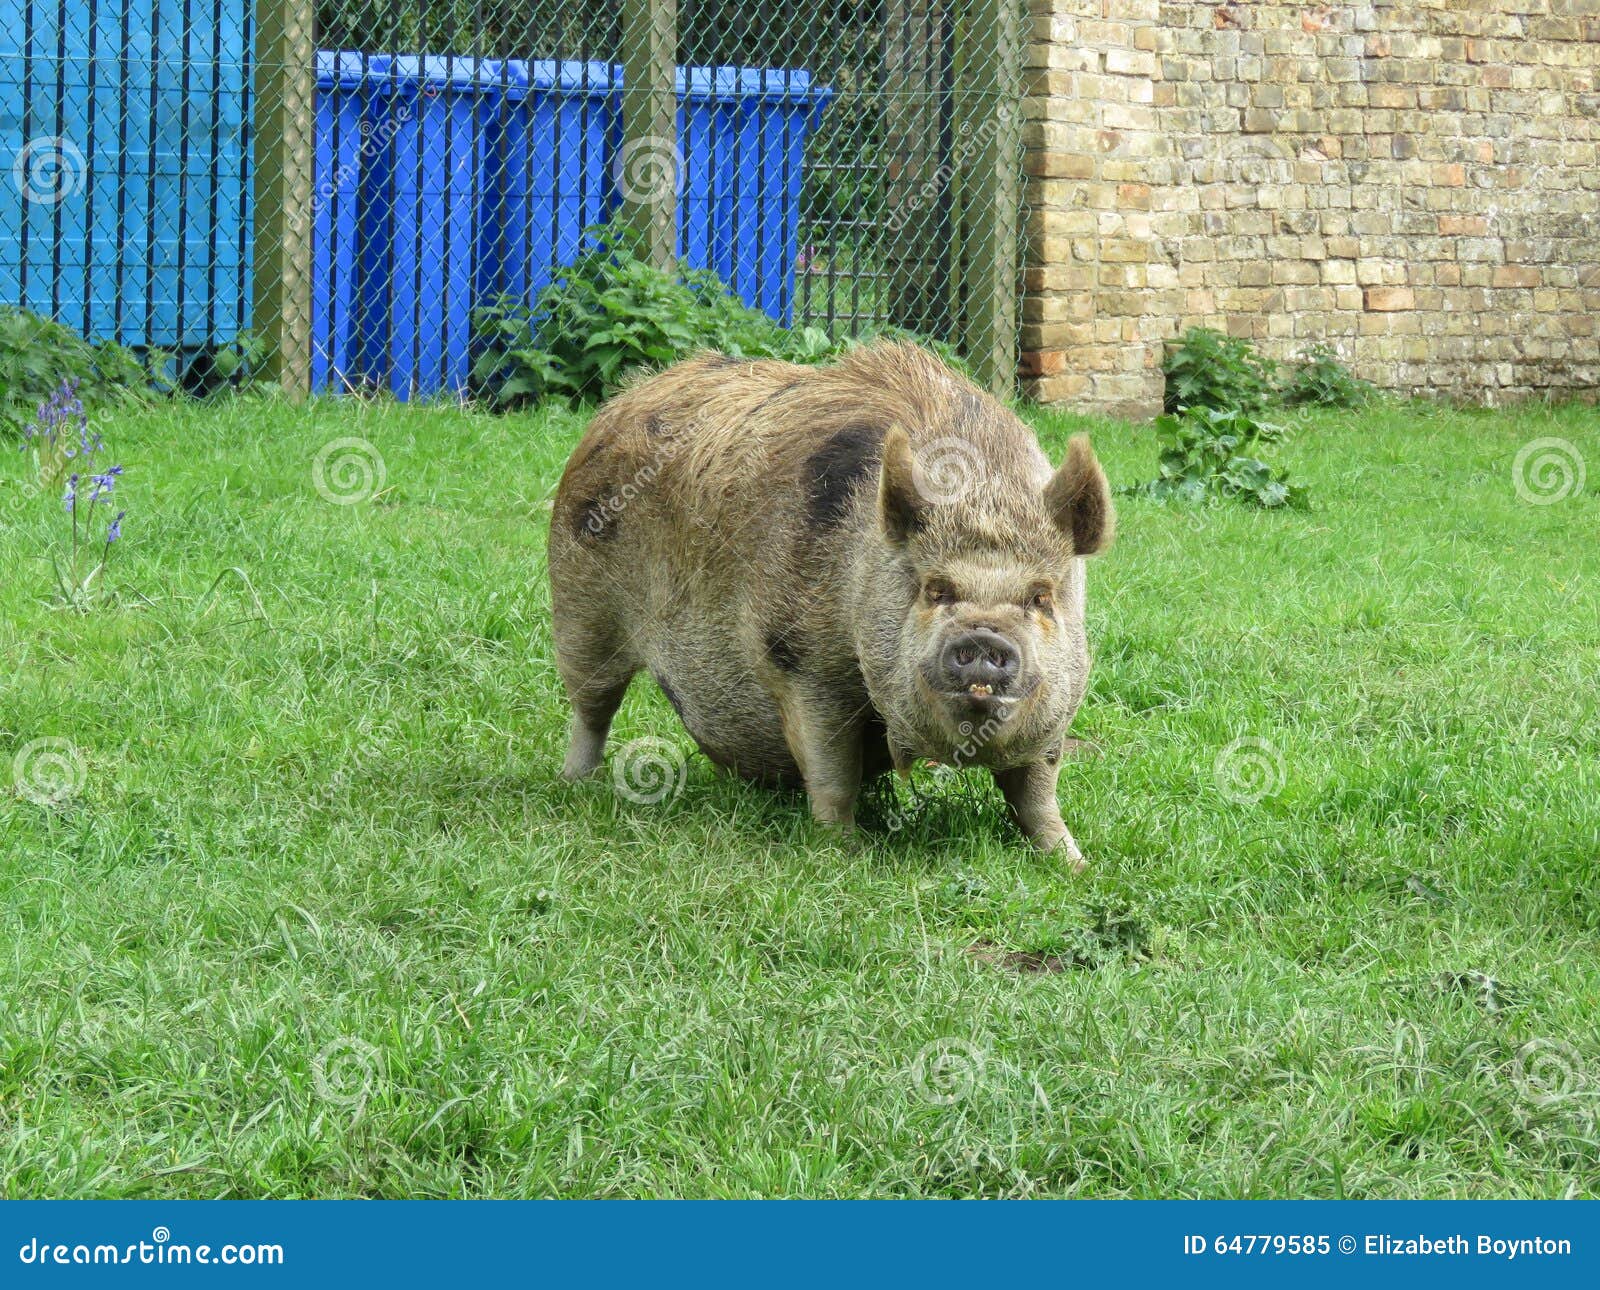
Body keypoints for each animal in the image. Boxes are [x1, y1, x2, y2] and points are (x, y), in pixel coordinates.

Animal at [547, 341, 1114, 868]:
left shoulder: (1060, 702)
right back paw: (575, 783)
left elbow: (1037, 791)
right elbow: (831, 768)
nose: (983, 635)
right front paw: (845, 852)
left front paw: (1074, 865)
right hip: (579, 604)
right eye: (935, 590)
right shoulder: (800, 663)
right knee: (592, 707)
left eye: (1041, 596)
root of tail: (624, 399)